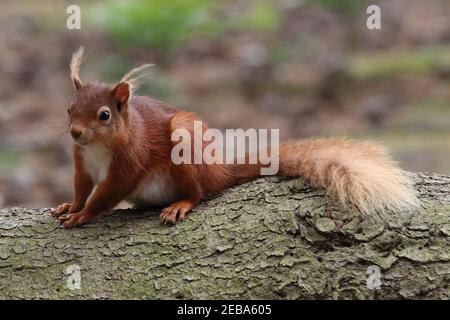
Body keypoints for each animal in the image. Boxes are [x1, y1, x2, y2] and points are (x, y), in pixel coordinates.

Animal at [51, 47, 420, 228]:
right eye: (69, 108)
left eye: (104, 115)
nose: (75, 132)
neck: (98, 148)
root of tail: (219, 172)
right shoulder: (82, 162)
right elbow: (83, 187)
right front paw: (70, 206)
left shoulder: (130, 161)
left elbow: (108, 193)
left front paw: (82, 216)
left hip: (185, 145)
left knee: (199, 192)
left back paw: (181, 204)